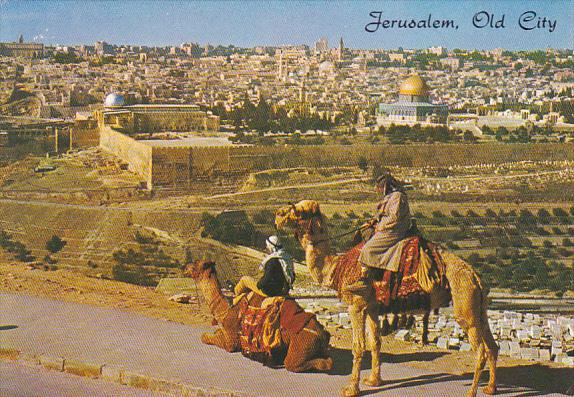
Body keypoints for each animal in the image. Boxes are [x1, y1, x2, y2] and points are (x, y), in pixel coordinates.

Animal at [184, 258, 336, 372]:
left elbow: (206, 337)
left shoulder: (232, 339)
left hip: (303, 342)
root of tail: (323, 334)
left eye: (196, 263)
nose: (184, 266)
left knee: (295, 363)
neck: (227, 306)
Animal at [276, 201, 500, 396]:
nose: (278, 215)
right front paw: (374, 381)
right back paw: (490, 388)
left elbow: (358, 346)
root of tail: (475, 276)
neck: (336, 267)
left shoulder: (356, 304)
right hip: (478, 305)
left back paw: (471, 392)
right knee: (492, 346)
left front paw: (351, 389)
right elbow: (375, 342)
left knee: (480, 350)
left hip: (464, 301)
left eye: (299, 211)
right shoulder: (372, 307)